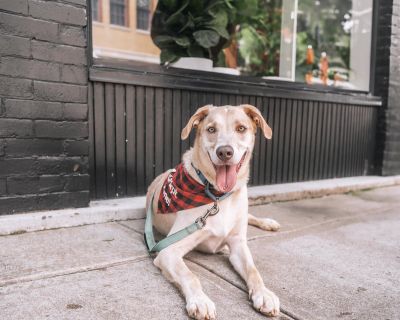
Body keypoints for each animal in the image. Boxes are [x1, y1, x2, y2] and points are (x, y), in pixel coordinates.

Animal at [147, 104, 282, 318]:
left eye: (241, 128)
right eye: (211, 129)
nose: (224, 152)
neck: (217, 196)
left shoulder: (238, 245)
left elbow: (254, 271)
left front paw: (264, 294)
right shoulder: (168, 251)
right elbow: (190, 275)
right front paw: (200, 300)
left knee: (250, 216)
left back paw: (268, 222)